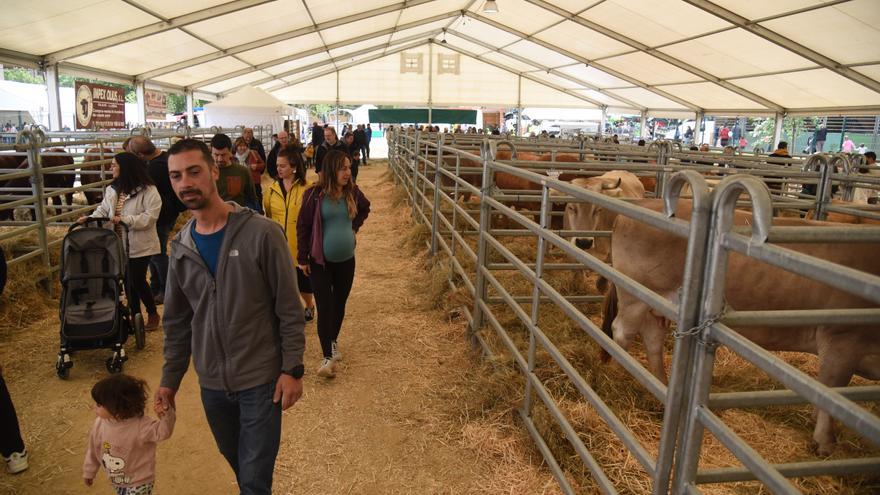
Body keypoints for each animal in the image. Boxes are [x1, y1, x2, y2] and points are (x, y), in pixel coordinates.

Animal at [604, 200, 880, 456]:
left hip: (657, 304)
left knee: (653, 339)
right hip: (634, 295)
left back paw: (660, 384)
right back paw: (618, 373)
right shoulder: (842, 339)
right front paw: (825, 441)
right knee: (622, 331)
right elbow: (832, 390)